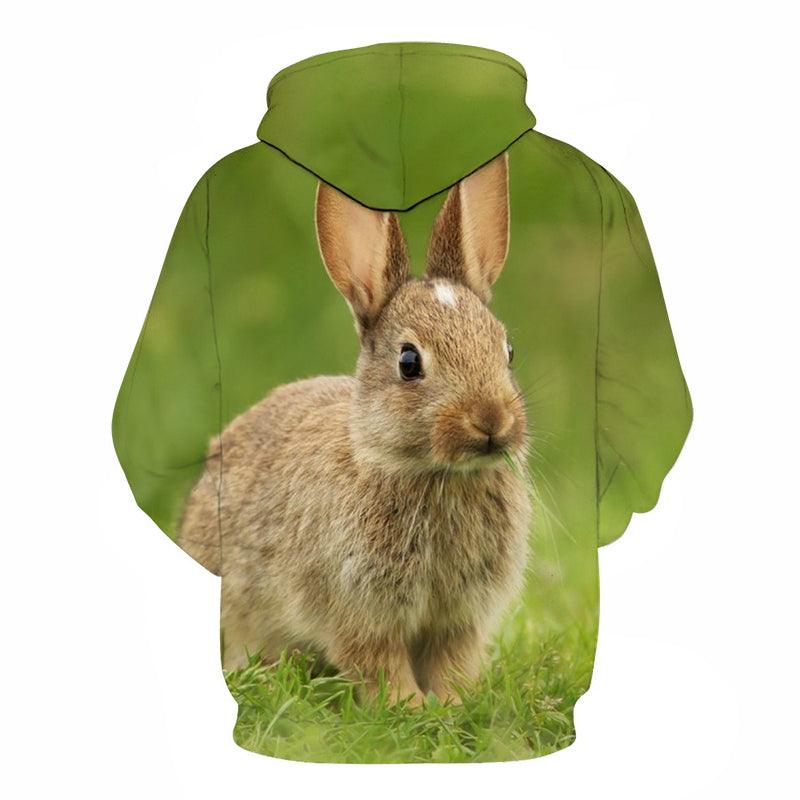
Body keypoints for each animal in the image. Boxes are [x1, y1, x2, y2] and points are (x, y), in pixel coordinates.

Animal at [180, 153, 531, 706]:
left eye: (507, 350)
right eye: (409, 362)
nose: (493, 421)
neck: (431, 474)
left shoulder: (460, 618)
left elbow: (452, 661)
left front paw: (452, 705)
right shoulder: (358, 611)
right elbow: (378, 663)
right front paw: (410, 709)